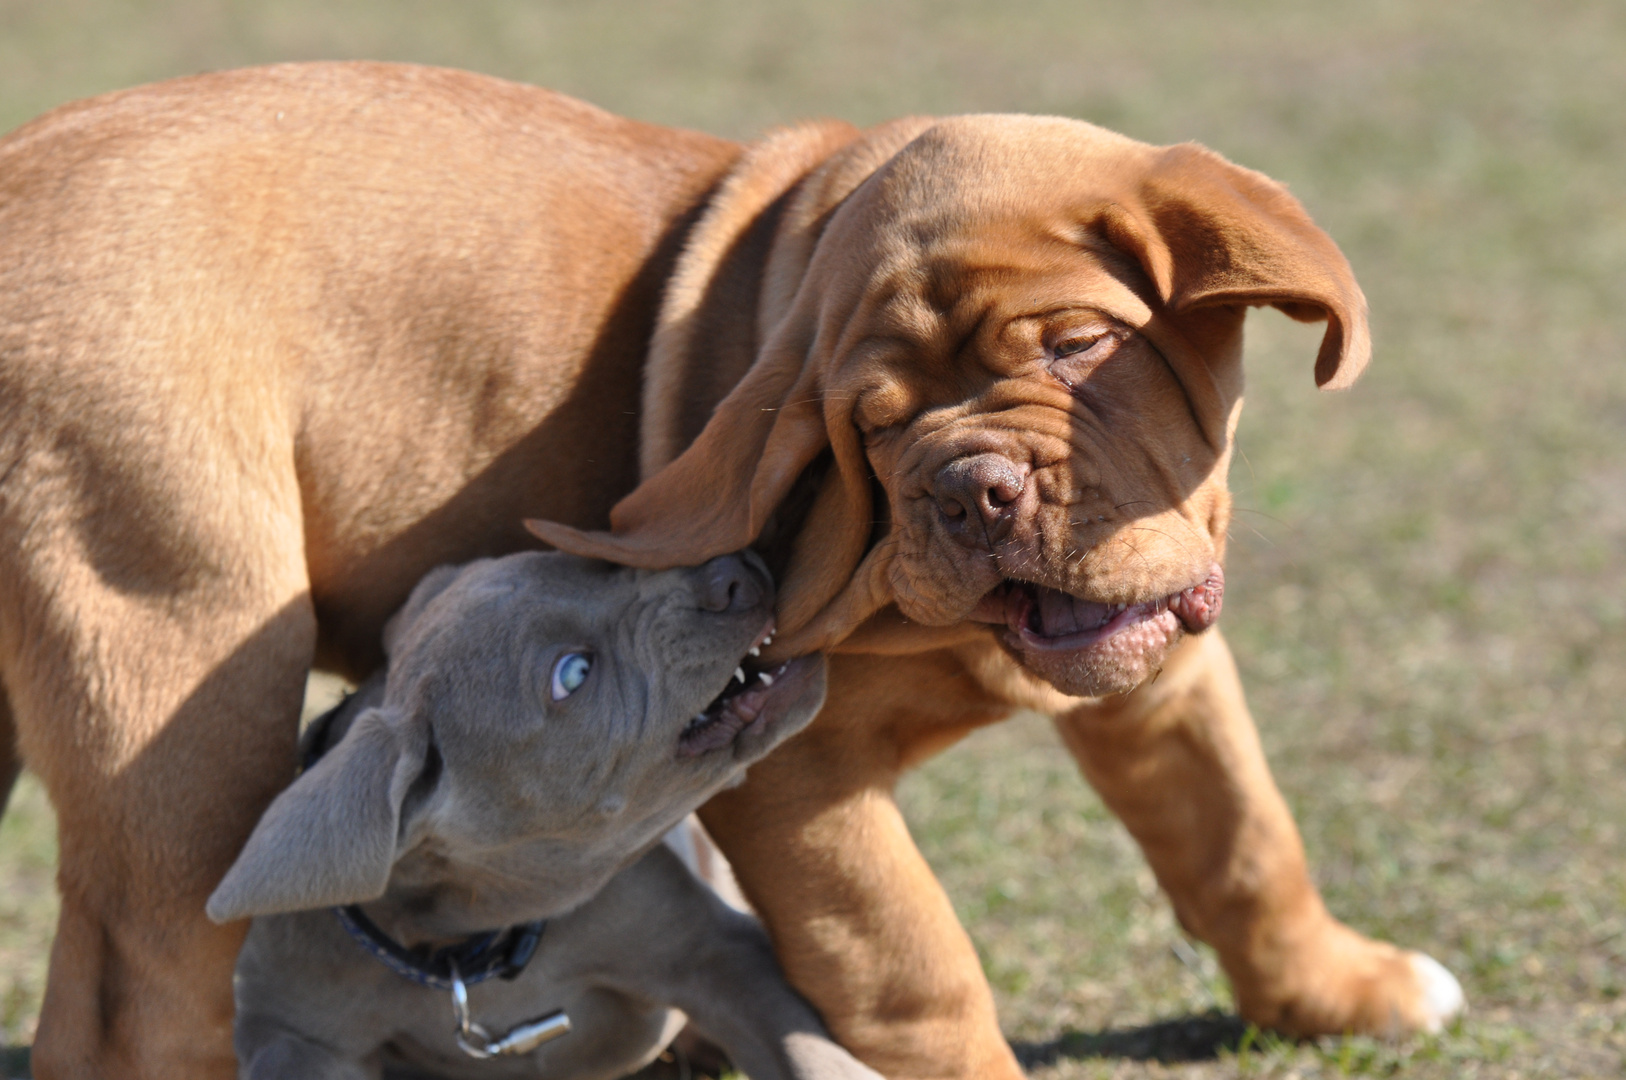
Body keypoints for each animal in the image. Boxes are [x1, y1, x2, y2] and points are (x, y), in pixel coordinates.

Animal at [213, 553, 878, 1080]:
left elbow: (809, 1055)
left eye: (593, 564)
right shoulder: (292, 1037)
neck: (473, 949)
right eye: (573, 673)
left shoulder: (714, 949)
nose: (735, 572)